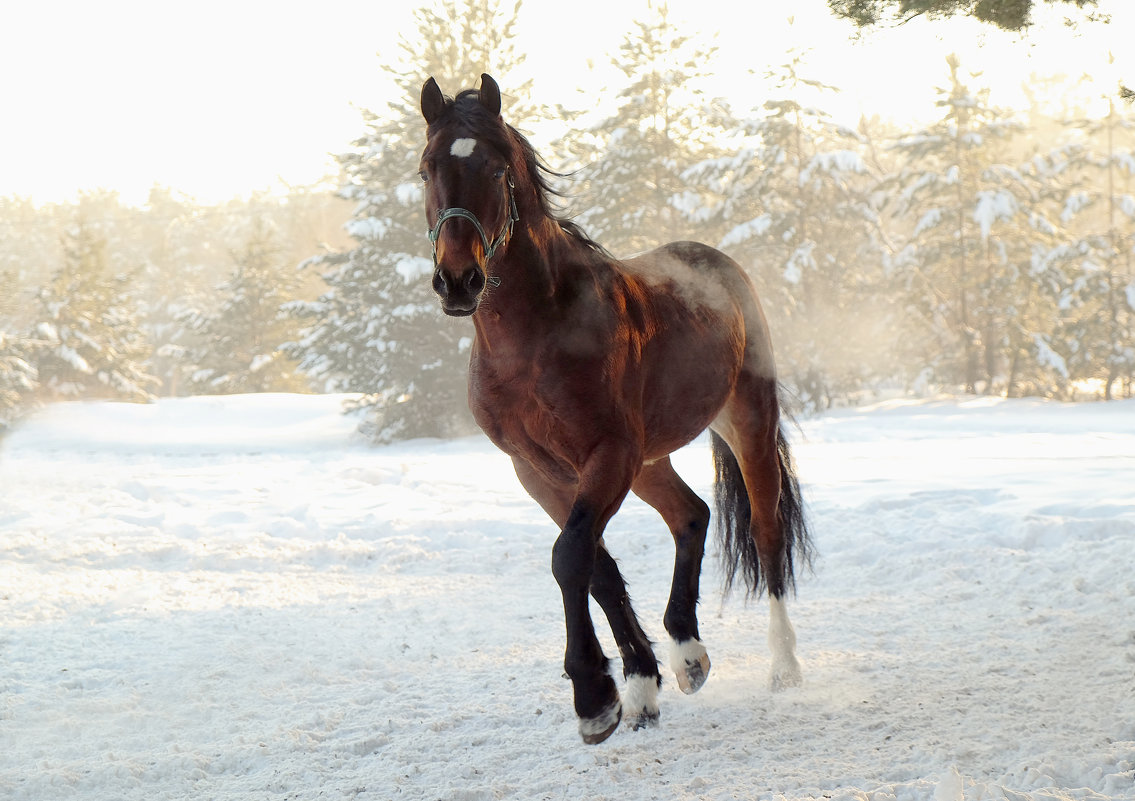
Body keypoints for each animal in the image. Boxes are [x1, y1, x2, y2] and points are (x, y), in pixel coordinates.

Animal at [422, 73, 812, 744]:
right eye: (426, 169)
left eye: (496, 170)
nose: (458, 280)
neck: (540, 334)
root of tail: (719, 263)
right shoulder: (541, 470)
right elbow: (593, 566)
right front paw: (637, 686)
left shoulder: (606, 454)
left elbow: (571, 557)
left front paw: (594, 695)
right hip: (648, 461)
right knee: (691, 516)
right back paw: (688, 656)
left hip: (745, 425)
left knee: (766, 534)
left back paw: (783, 666)